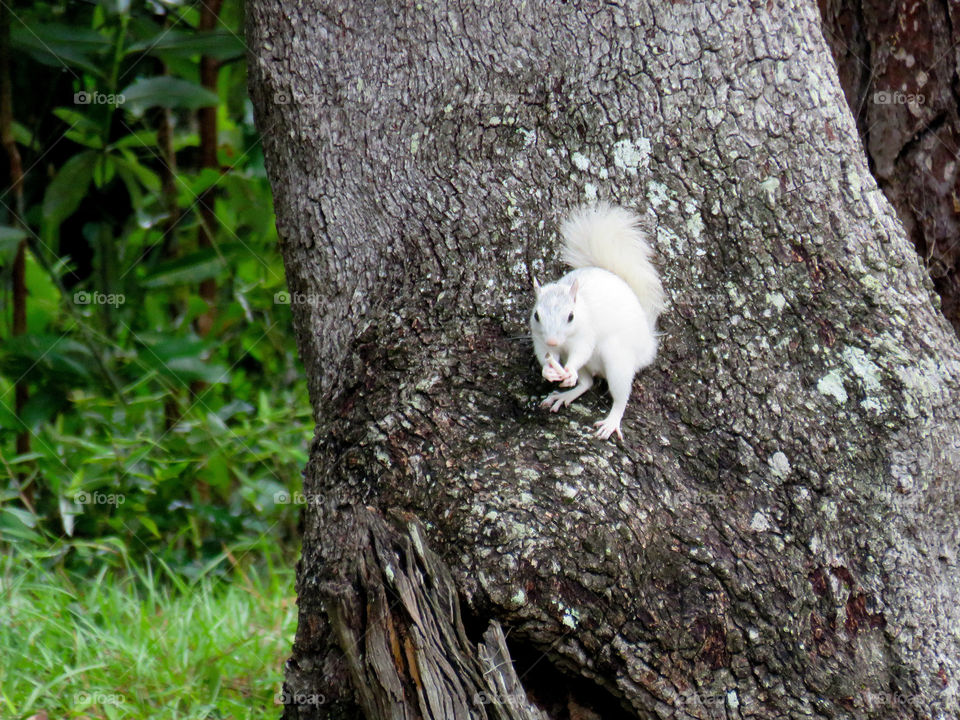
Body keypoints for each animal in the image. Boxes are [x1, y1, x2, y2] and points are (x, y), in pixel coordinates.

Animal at [530, 203, 664, 440]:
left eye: (571, 316)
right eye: (537, 315)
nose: (553, 342)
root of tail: (647, 343)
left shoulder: (585, 335)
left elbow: (581, 352)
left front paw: (568, 370)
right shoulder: (540, 339)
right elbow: (545, 355)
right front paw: (548, 371)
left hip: (617, 359)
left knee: (620, 396)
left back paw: (611, 421)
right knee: (587, 382)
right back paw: (564, 395)